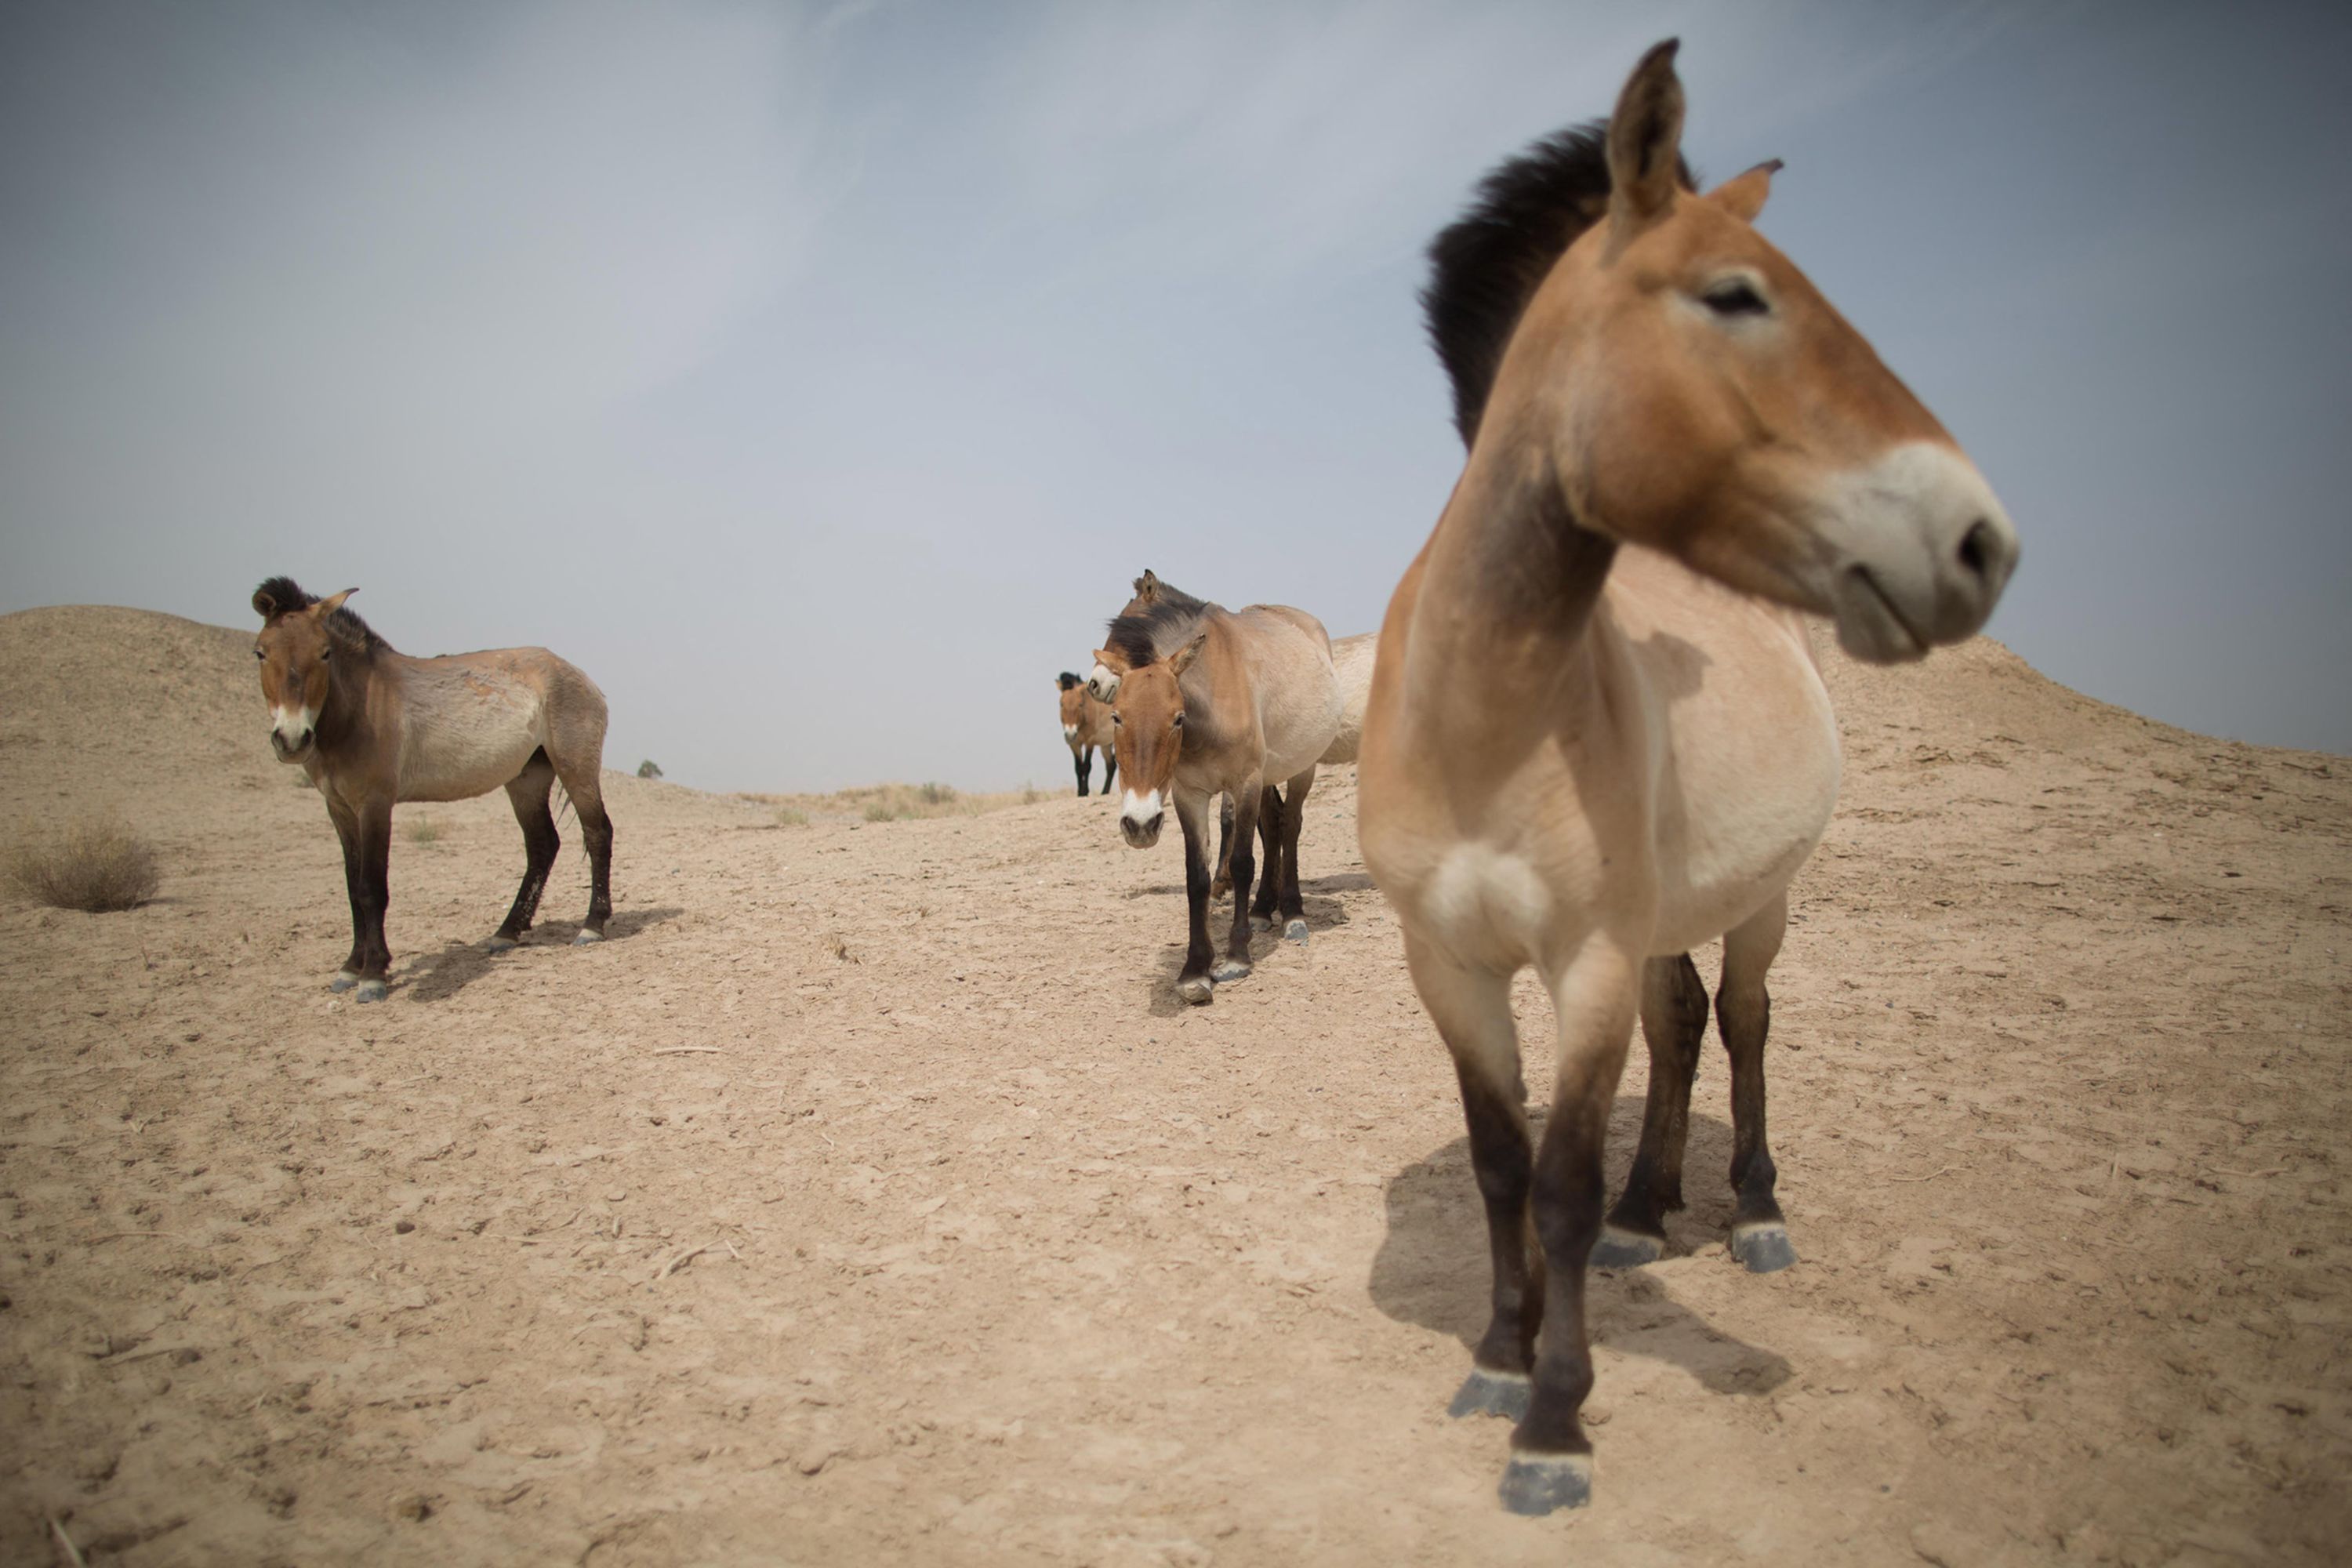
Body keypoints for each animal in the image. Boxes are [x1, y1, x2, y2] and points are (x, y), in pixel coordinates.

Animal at [250, 580, 616, 1006]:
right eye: (261, 652)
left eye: (324, 652)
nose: (292, 740)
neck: (358, 708)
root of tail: (579, 676)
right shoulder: (338, 809)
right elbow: (352, 888)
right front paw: (350, 968)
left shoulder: (375, 805)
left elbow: (371, 887)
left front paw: (373, 975)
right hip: (525, 779)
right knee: (542, 845)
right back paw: (507, 932)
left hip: (576, 769)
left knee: (597, 833)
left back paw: (591, 925)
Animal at [1058, 672, 1120, 799]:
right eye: (1061, 704)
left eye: (1080, 704)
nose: (1070, 734)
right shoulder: (1075, 744)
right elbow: (1078, 767)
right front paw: (1080, 793)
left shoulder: (1089, 742)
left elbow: (1086, 766)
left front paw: (1085, 792)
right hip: (1106, 745)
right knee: (1111, 765)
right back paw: (1104, 792)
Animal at [1087, 580, 1336, 1006]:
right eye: (1118, 717)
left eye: (1177, 718)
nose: (1139, 825)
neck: (1210, 711)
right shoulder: (1190, 794)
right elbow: (1196, 877)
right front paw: (1195, 970)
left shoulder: (1244, 783)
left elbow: (1241, 862)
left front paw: (1236, 957)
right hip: (1268, 778)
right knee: (1273, 827)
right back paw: (1262, 909)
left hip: (1302, 769)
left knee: (1290, 828)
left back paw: (1292, 914)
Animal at [1364, 45, 2023, 1523]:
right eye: (1735, 295)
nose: (1981, 541)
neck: (1488, 717)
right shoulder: (1448, 963)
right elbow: (1501, 1164)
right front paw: (1500, 1353)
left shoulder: (1586, 961)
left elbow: (1558, 1177)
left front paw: (1553, 1424)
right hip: (1664, 922)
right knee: (1679, 1035)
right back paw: (1649, 1210)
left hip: (1761, 904)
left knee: (1746, 1021)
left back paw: (1754, 1211)